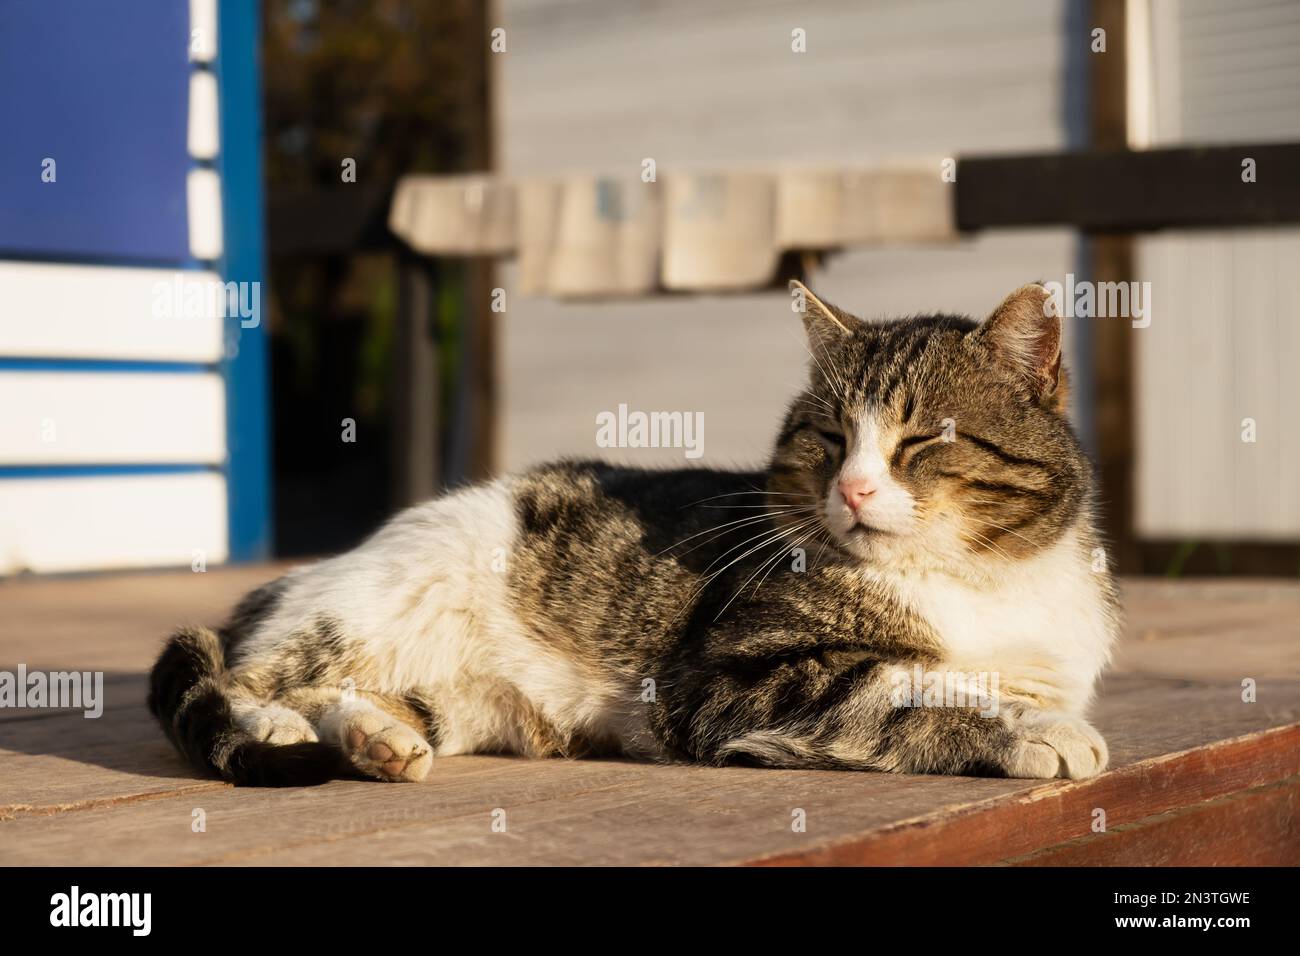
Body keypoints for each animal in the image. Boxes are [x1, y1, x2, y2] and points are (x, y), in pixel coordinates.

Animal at [149, 282, 1118, 785]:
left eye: (920, 441)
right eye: (829, 437)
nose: (852, 484)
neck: (980, 583)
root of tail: (277, 586)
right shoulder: (734, 680)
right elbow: (906, 684)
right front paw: (1038, 730)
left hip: (471, 703)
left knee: (359, 699)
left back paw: (378, 743)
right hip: (362, 613)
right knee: (246, 678)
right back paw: (278, 728)